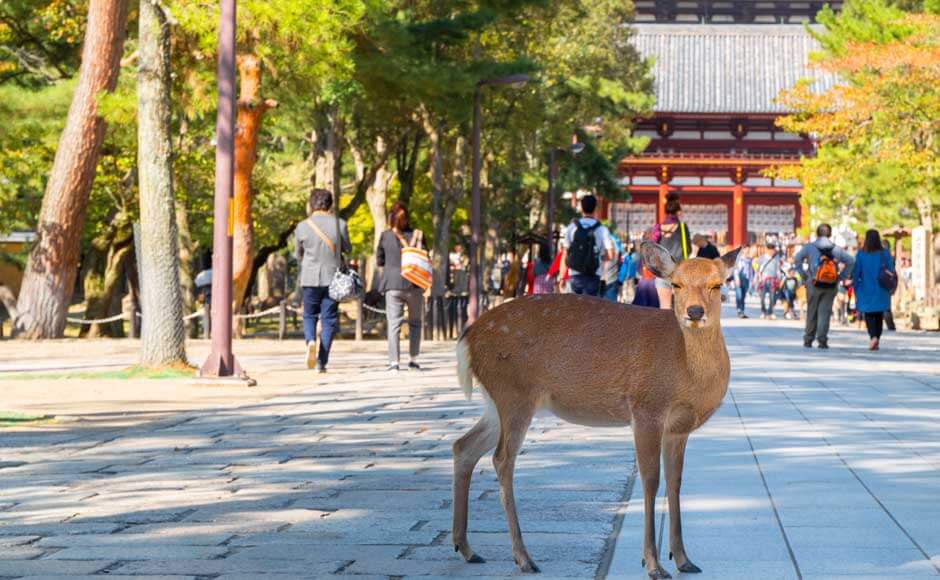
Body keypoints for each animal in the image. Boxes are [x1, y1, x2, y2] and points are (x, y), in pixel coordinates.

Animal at [454, 240, 740, 576]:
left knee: (464, 446)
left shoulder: (678, 428)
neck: (685, 372)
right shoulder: (646, 408)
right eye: (676, 284)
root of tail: (466, 339)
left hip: (494, 401)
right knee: (501, 459)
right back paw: (523, 557)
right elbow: (651, 479)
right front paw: (653, 564)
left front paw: (684, 559)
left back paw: (466, 548)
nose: (694, 312)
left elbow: (676, 481)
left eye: (717, 284)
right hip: (513, 393)